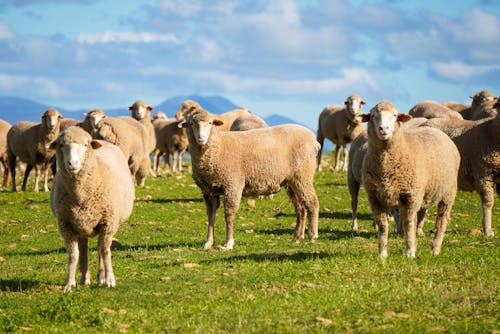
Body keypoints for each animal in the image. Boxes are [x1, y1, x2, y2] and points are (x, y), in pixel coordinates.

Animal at [50, 126, 135, 294]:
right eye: (61, 145)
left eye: (85, 145)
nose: (72, 164)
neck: (81, 195)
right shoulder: (66, 225)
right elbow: (73, 255)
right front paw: (69, 284)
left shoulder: (108, 223)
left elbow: (105, 251)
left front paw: (110, 280)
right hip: (81, 223)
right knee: (84, 248)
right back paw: (84, 278)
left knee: (100, 247)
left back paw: (101, 277)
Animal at [184, 108, 320, 249]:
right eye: (191, 124)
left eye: (210, 123)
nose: (201, 138)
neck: (218, 146)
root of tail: (314, 140)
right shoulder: (208, 190)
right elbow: (211, 215)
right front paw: (208, 243)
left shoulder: (233, 184)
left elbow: (229, 214)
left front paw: (229, 243)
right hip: (292, 181)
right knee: (300, 208)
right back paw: (297, 237)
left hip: (303, 175)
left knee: (312, 203)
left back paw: (312, 235)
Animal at [360, 100, 460, 258]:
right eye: (373, 116)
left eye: (395, 115)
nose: (383, 128)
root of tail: (438, 131)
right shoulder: (375, 198)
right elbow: (383, 226)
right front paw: (382, 254)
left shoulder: (411, 197)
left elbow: (408, 224)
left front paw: (410, 252)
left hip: (448, 192)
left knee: (442, 220)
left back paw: (435, 248)